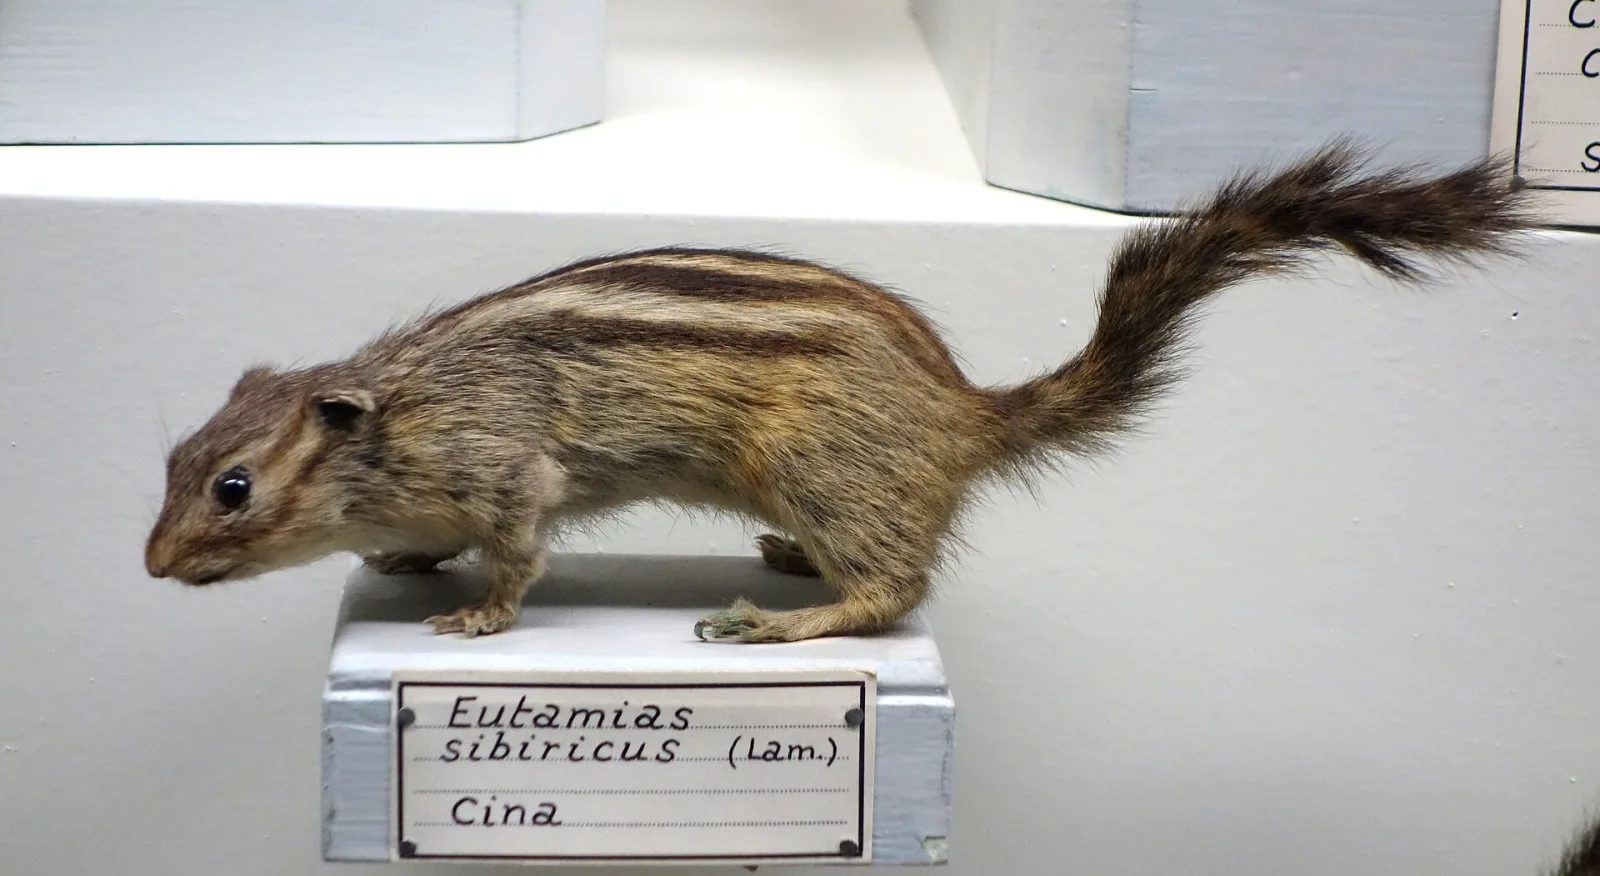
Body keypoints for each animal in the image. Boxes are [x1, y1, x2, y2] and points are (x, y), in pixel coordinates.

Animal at [144, 141, 1538, 643]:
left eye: (234, 486)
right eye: (171, 460)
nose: (152, 565)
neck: (394, 413)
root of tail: (964, 415)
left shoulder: (509, 468)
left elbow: (522, 551)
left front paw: (480, 616)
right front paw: (405, 564)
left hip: (826, 467)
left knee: (897, 592)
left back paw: (782, 619)